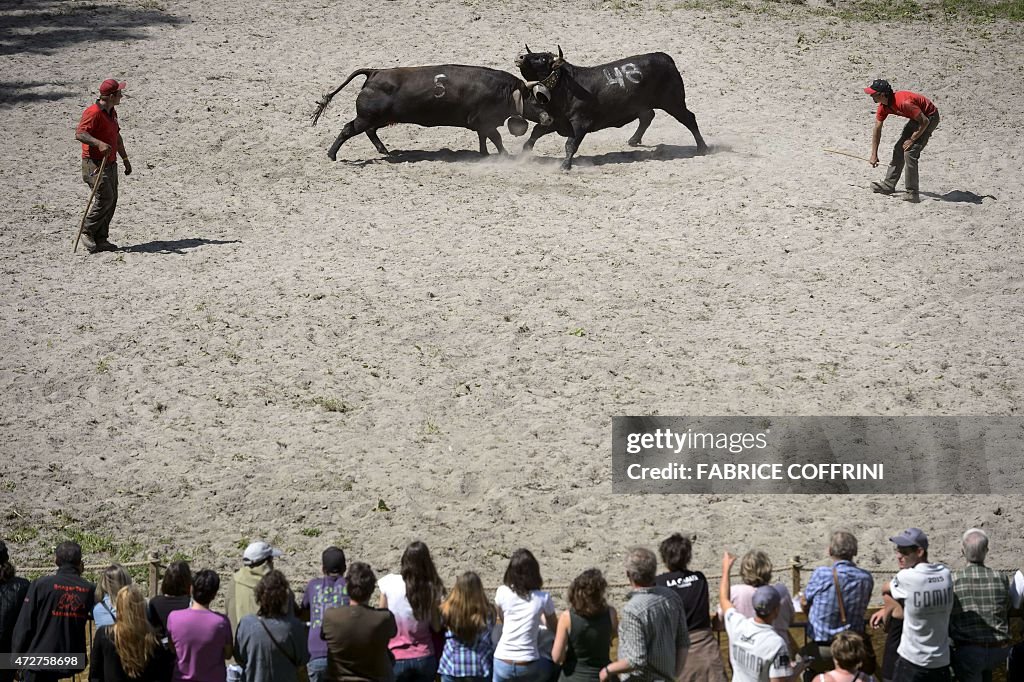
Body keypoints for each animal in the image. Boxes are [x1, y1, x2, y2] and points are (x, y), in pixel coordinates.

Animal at [309, 64, 552, 159]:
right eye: (538, 101)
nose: (549, 118)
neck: (505, 91)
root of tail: (375, 72)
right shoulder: (484, 121)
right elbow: (496, 138)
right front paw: (504, 155)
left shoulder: (483, 124)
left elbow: (484, 138)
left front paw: (484, 154)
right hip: (366, 117)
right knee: (348, 129)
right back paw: (332, 155)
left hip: (379, 118)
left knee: (370, 131)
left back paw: (384, 150)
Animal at [516, 45, 708, 168]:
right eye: (533, 53)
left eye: (541, 58)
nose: (520, 57)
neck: (565, 86)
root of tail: (665, 58)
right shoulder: (555, 120)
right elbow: (536, 132)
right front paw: (524, 154)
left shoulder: (580, 123)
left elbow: (571, 144)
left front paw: (565, 165)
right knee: (647, 116)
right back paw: (633, 140)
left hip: (673, 102)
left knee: (689, 118)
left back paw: (702, 148)